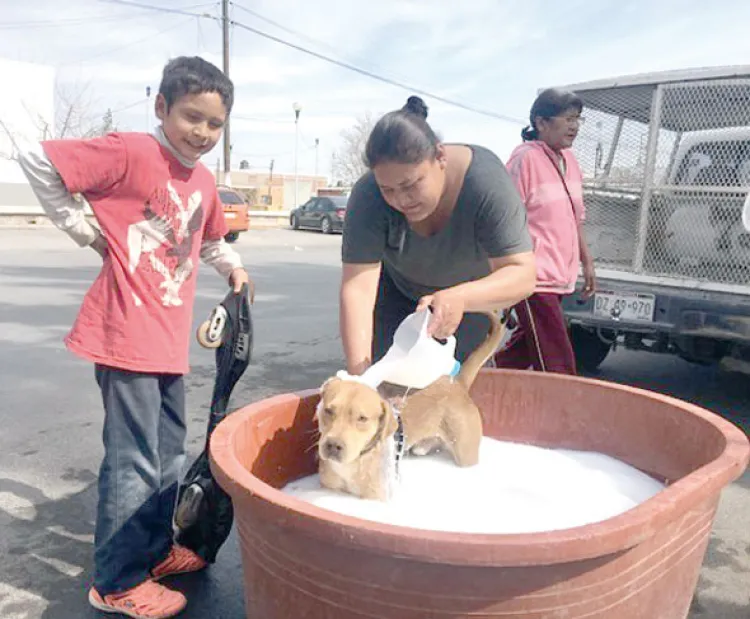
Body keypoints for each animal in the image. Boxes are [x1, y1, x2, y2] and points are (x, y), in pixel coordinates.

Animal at [316, 312, 506, 502]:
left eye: (362, 418)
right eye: (328, 411)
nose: (333, 445)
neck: (353, 464)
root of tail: (456, 383)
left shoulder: (377, 496)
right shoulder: (329, 488)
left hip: (466, 453)